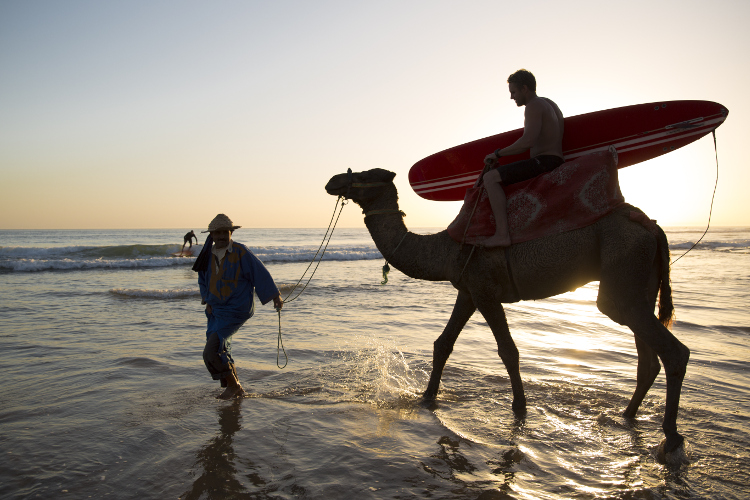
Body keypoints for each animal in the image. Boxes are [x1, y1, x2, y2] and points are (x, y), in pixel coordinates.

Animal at [326, 167, 692, 458]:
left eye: (364, 175)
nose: (332, 181)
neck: (445, 248)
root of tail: (653, 227)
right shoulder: (468, 289)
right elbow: (443, 344)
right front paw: (427, 398)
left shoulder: (485, 289)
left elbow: (508, 350)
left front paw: (519, 409)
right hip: (639, 283)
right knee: (648, 358)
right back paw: (626, 416)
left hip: (622, 273)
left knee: (671, 350)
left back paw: (671, 437)